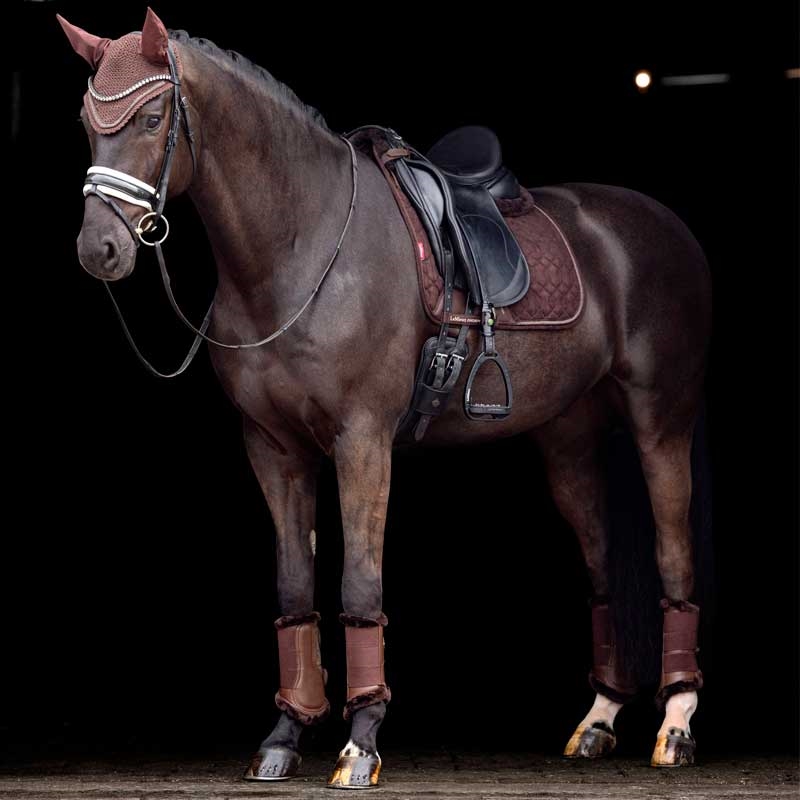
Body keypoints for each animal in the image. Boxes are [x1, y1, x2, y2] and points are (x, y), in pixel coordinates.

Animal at [61, 9, 712, 792]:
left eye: (154, 117)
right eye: (85, 122)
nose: (99, 249)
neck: (302, 246)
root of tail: (666, 225)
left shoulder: (362, 440)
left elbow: (359, 585)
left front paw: (361, 742)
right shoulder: (274, 450)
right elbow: (293, 589)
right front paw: (283, 736)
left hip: (662, 423)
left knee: (674, 554)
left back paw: (676, 725)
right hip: (571, 444)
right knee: (605, 565)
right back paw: (598, 721)